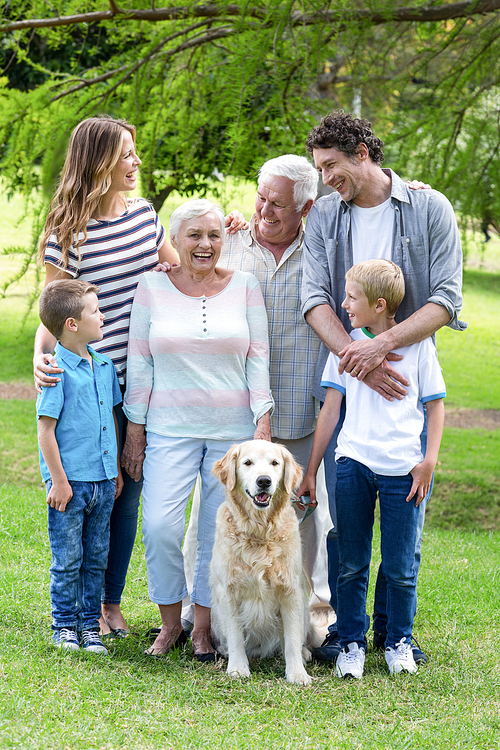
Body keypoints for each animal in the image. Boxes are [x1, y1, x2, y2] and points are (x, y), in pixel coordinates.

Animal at [211, 440, 320, 688]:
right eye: (247, 462)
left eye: (274, 463)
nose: (264, 481)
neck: (259, 531)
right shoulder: (227, 591)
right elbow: (236, 636)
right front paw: (238, 668)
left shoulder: (291, 590)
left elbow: (292, 639)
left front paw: (297, 673)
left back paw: (305, 653)